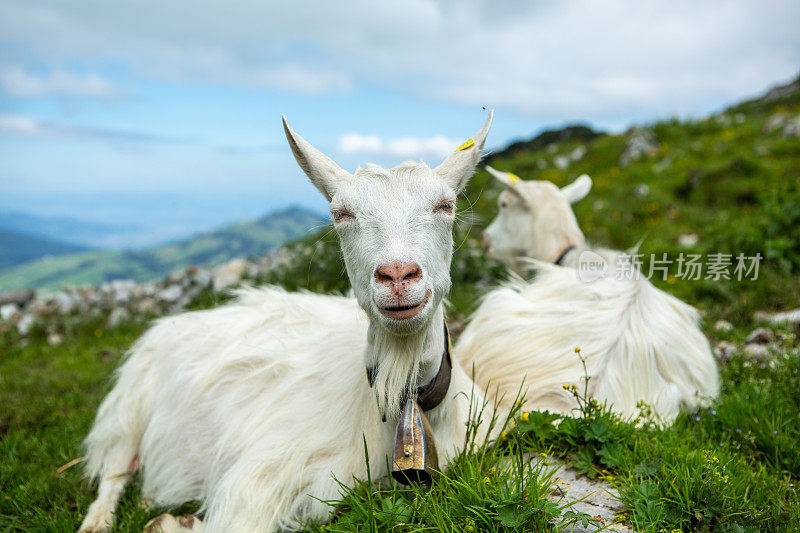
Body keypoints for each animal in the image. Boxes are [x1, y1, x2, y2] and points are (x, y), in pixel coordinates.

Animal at [79, 112, 494, 532]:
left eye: (445, 205)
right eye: (341, 215)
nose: (397, 276)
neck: (403, 399)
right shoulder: (258, 478)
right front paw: (172, 522)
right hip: (130, 405)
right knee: (114, 471)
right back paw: (100, 520)